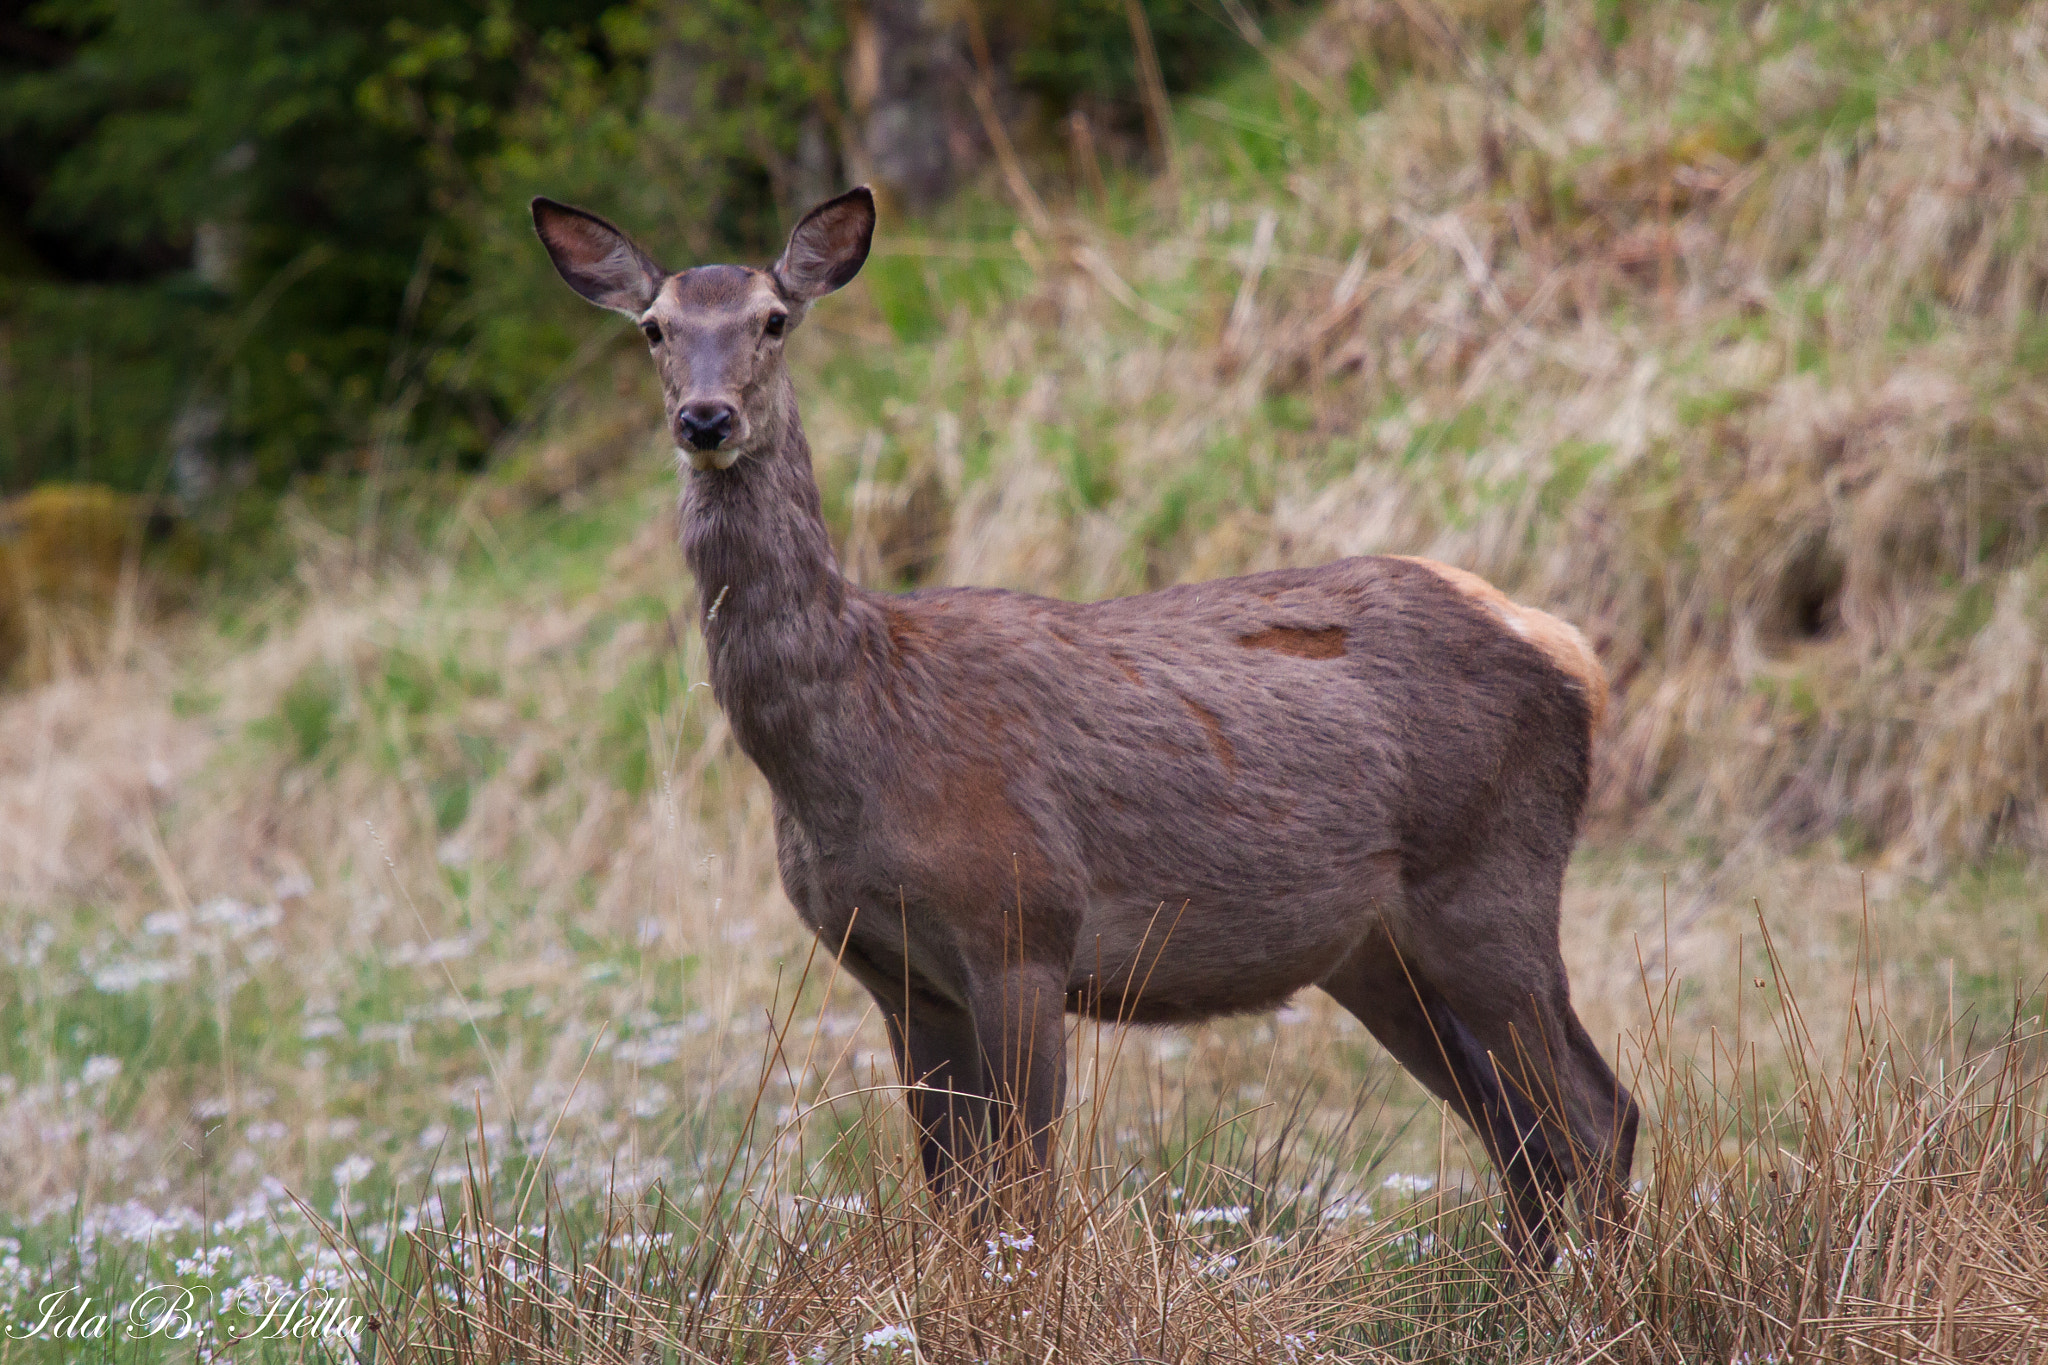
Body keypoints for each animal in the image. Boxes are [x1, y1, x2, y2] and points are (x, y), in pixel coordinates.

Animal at [532, 186, 1640, 1265]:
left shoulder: (1020, 923)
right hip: (1375, 951)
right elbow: (957, 1200)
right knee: (1523, 1131)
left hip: (1487, 879)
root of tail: (1571, 650)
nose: (705, 418)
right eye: (654, 327)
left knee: (1596, 1115)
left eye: (772, 318)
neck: (856, 736)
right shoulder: (895, 976)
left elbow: (1023, 1195)